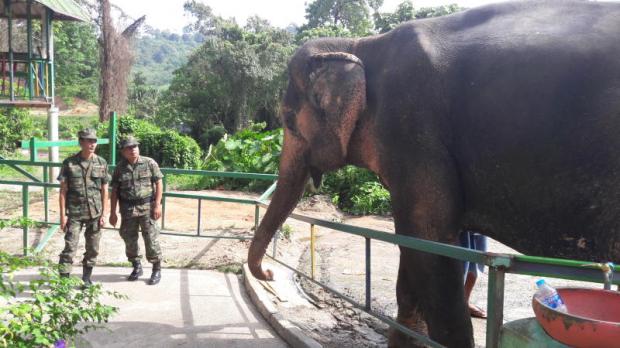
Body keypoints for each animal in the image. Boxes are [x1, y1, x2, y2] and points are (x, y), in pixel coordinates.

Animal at [247, 1, 620, 346]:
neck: (362, 45)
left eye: (289, 119)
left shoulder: (413, 130)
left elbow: (428, 244)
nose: (268, 273)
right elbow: (413, 247)